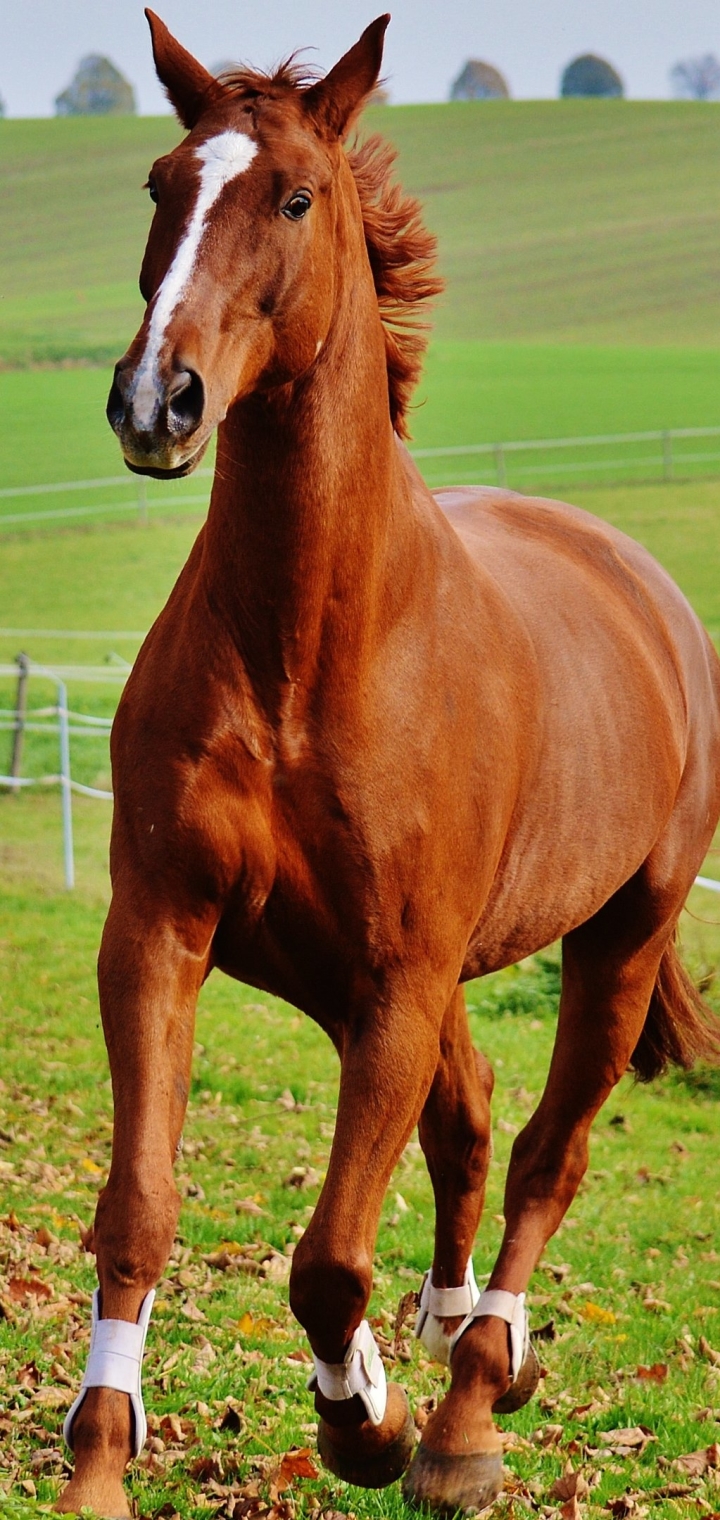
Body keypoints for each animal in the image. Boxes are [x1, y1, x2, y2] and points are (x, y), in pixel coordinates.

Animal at [57, 11, 720, 1520]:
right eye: (161, 184)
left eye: (297, 196)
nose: (156, 401)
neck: (307, 650)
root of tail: (646, 587)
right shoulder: (167, 932)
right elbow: (141, 1209)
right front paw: (100, 1464)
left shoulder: (398, 976)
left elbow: (327, 1258)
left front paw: (366, 1420)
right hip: (372, 975)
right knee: (468, 1125)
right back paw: (456, 1340)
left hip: (615, 942)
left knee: (545, 1151)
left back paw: (473, 1399)